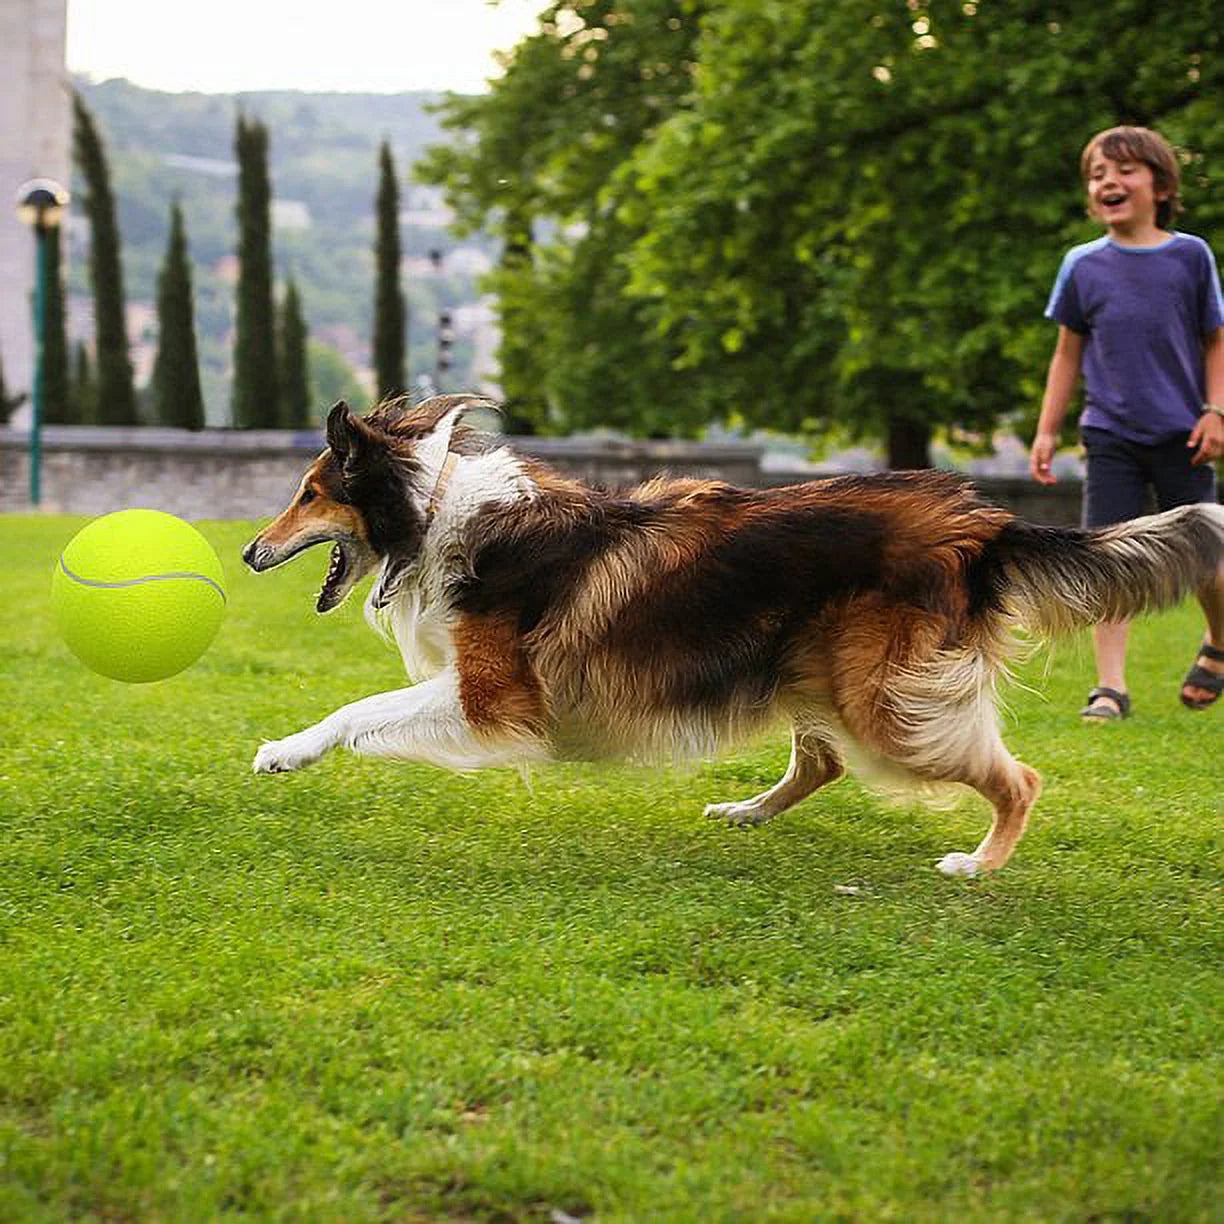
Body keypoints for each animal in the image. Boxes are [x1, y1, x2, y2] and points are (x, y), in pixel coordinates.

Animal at [241, 396, 1224, 876]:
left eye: (311, 491)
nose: (249, 553)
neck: (436, 508)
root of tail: (982, 525)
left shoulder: (496, 695)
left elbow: (360, 708)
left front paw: (285, 751)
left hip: (887, 704)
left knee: (1018, 778)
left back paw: (977, 864)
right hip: (812, 671)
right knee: (821, 763)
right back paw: (746, 810)